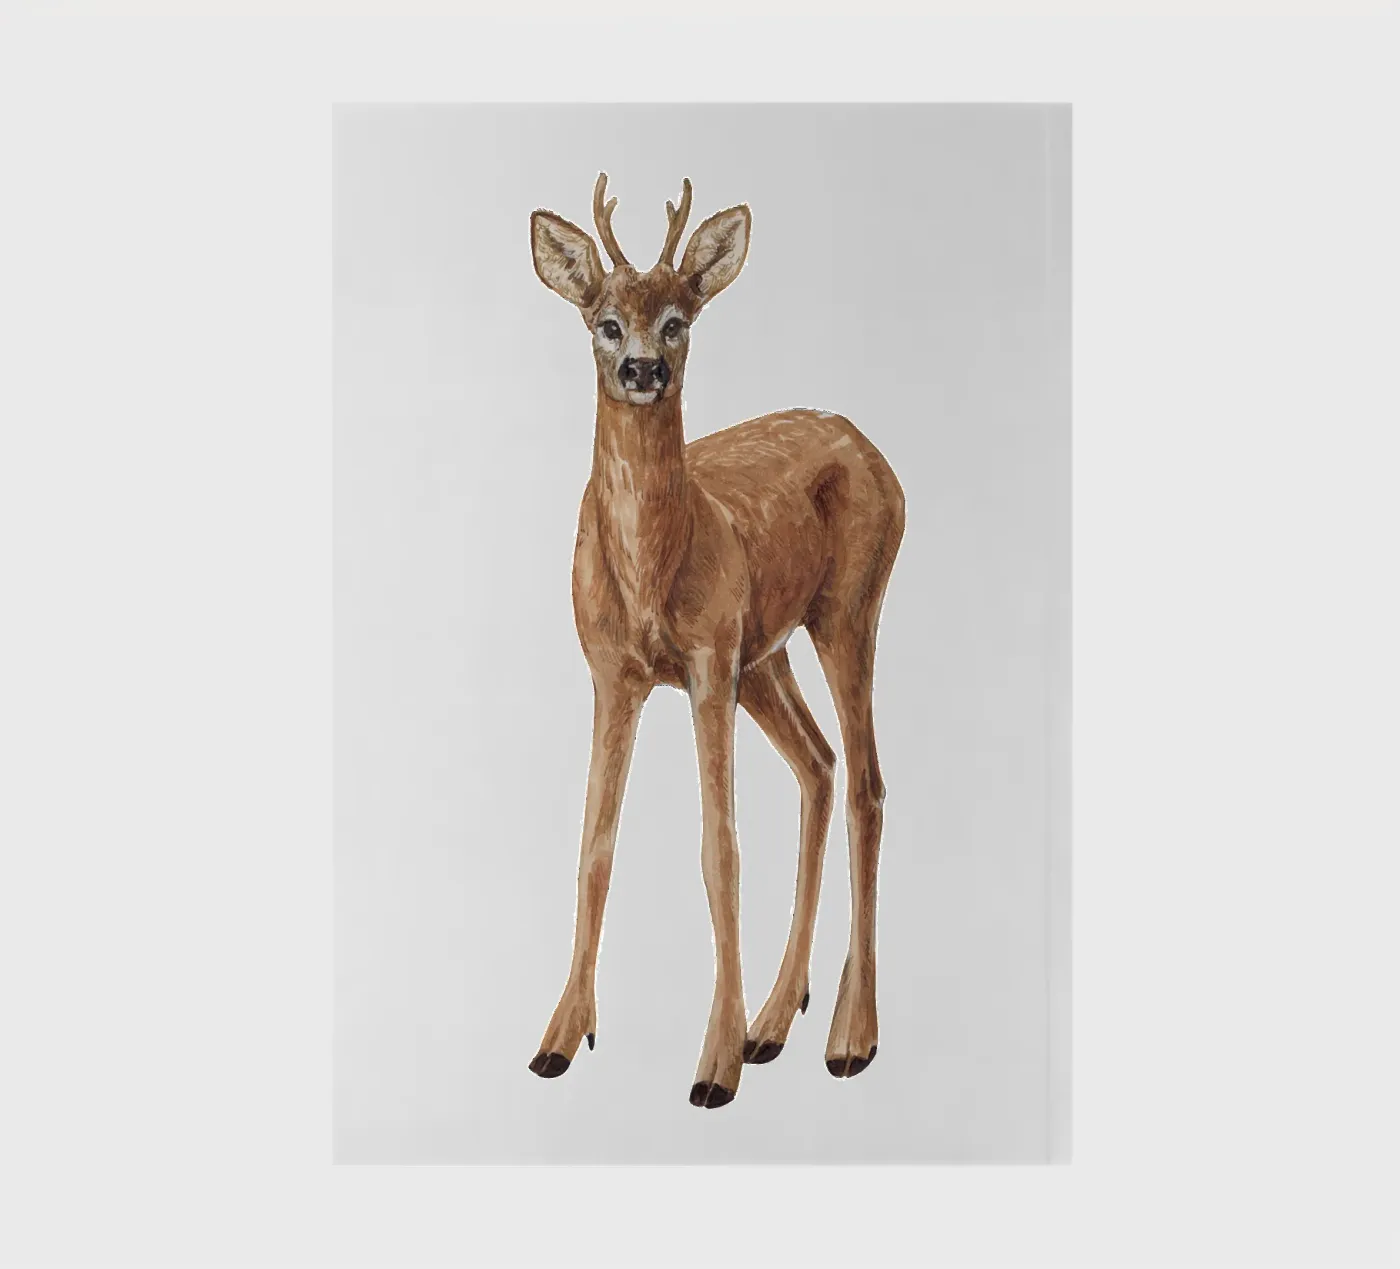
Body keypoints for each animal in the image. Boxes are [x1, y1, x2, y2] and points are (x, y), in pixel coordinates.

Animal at [526, 173, 905, 1109]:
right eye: (604, 320)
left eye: (678, 319)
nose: (643, 370)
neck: (651, 570)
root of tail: (877, 454)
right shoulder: (613, 672)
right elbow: (594, 847)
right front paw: (561, 1037)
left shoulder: (704, 663)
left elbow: (719, 849)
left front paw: (713, 1065)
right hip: (766, 653)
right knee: (819, 764)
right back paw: (775, 1019)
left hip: (847, 609)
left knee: (867, 784)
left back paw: (849, 1037)